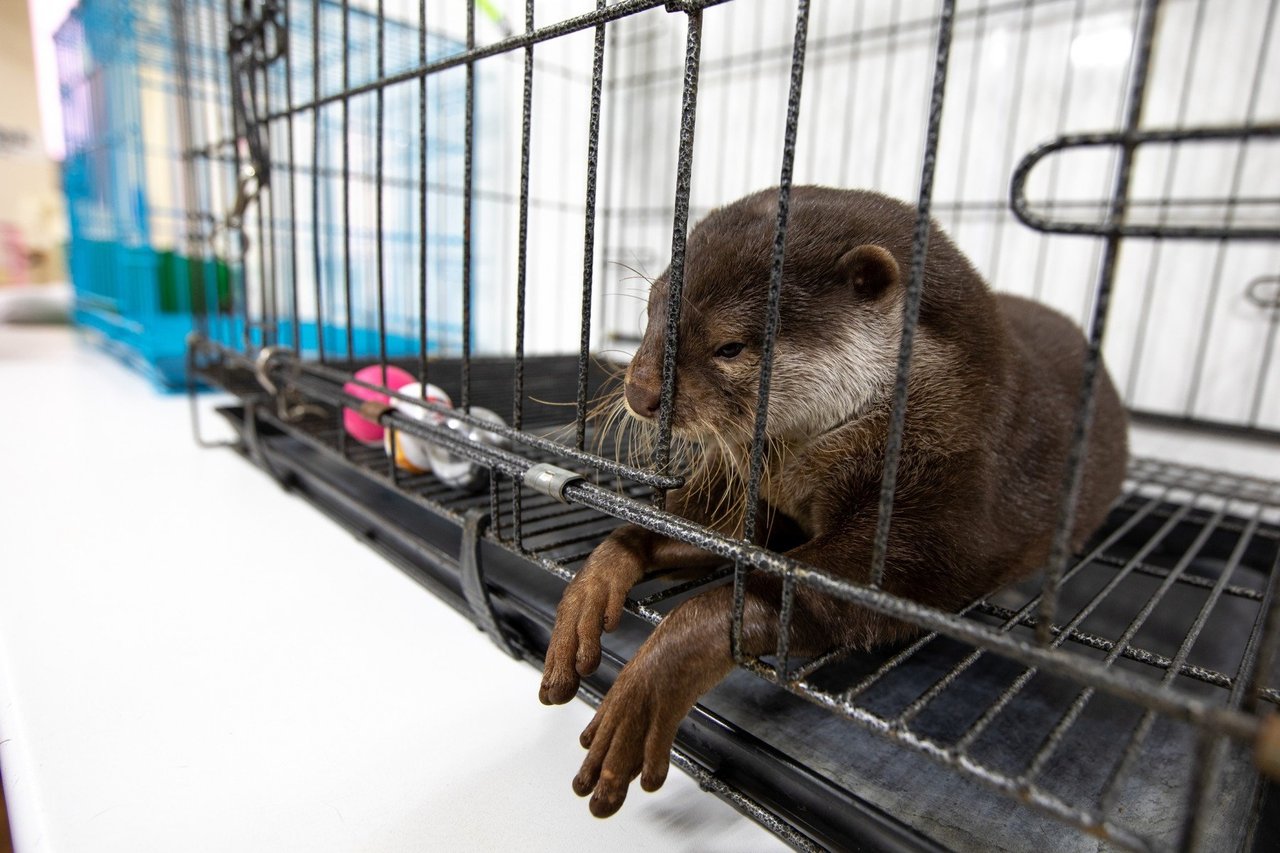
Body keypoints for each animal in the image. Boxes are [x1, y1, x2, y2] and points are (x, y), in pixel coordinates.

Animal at [535, 188, 1126, 819]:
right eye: (650, 313)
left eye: (730, 346)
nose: (640, 393)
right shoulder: (752, 491)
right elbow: (683, 531)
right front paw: (593, 584)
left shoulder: (947, 494)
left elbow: (802, 593)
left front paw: (651, 681)